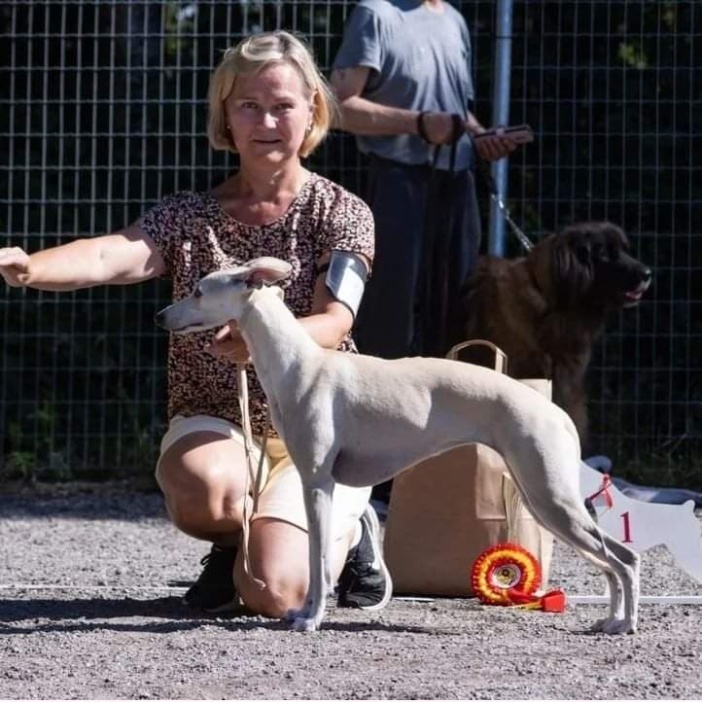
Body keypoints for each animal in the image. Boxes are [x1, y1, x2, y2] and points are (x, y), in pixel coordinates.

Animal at [155, 256, 640, 634]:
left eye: (199, 290)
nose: (160, 316)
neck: (301, 364)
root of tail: (556, 413)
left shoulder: (316, 482)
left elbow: (317, 559)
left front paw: (311, 619)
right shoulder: (321, 485)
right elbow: (317, 560)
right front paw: (304, 613)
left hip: (550, 497)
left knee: (624, 558)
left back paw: (626, 623)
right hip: (543, 498)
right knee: (613, 560)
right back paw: (610, 619)